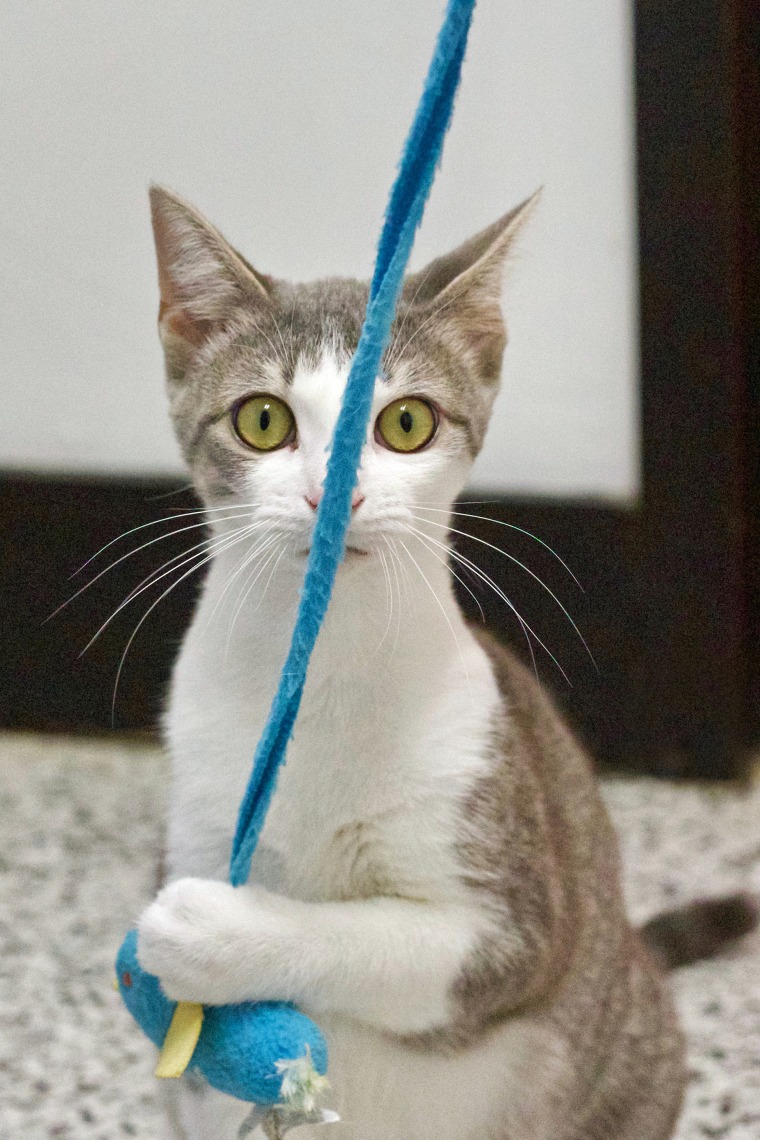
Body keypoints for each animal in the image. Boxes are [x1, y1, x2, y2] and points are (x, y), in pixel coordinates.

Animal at [136, 186, 688, 1140]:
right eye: (262, 419)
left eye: (405, 422)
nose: (335, 495)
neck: (322, 670)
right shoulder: (202, 807)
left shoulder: (513, 920)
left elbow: (392, 943)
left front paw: (225, 933)